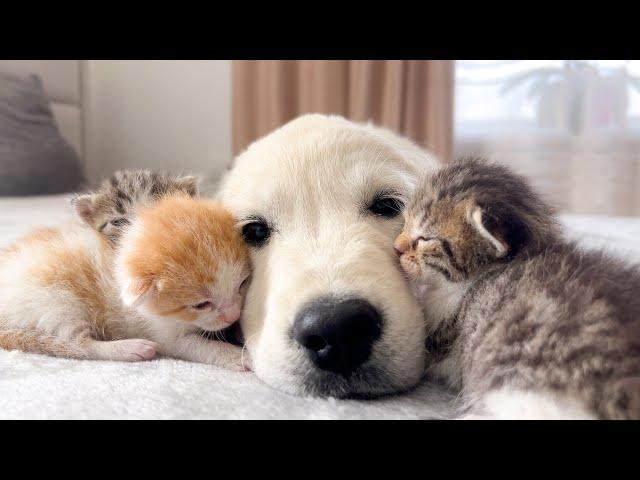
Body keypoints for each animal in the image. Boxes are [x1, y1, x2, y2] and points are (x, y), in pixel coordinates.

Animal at [0, 193, 250, 370]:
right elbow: (194, 345)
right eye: (201, 305)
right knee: (76, 344)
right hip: (56, 299)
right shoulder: (160, 332)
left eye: (242, 284)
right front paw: (235, 355)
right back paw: (130, 348)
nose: (233, 315)